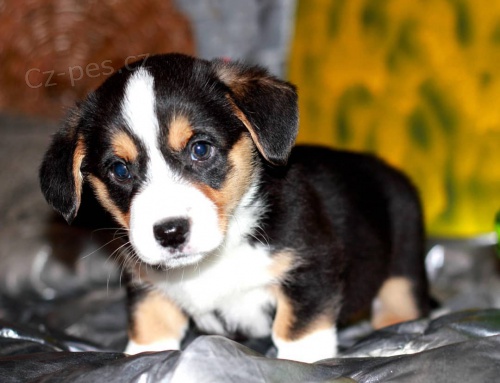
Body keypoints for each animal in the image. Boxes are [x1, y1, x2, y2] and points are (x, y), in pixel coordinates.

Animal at [40, 53, 430, 364]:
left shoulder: (311, 269)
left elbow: (298, 334)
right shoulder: (148, 286)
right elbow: (150, 330)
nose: (170, 232)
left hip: (404, 265)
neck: (219, 252)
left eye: (200, 149)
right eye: (119, 170)